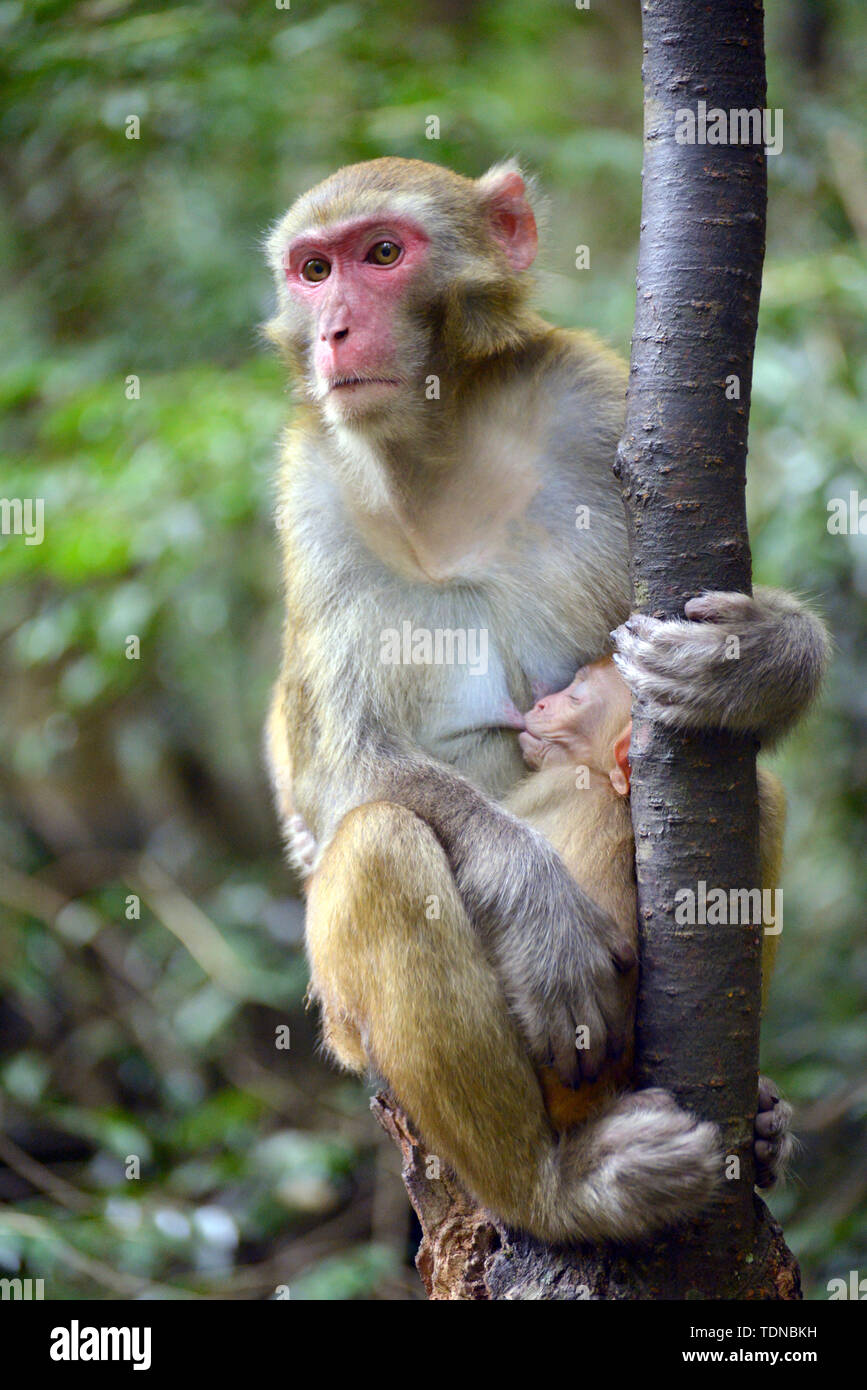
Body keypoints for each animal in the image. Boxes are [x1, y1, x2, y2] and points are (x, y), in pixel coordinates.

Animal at [263, 157, 827, 1241]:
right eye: (314, 270)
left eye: (381, 254)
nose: (334, 330)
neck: (432, 450)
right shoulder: (311, 486)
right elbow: (341, 770)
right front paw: (542, 918)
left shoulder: (587, 399)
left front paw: (757, 659)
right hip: (368, 1043)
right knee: (378, 847)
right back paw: (554, 1191)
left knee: (758, 789)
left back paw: (761, 1119)